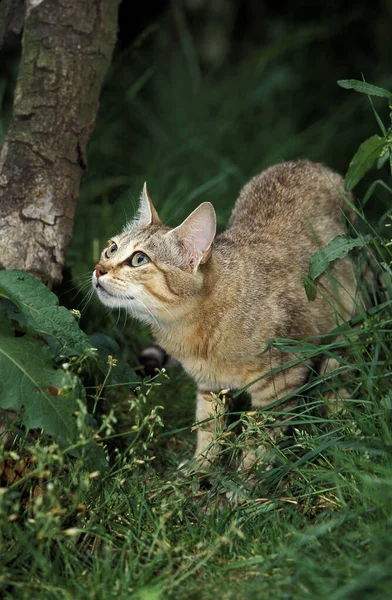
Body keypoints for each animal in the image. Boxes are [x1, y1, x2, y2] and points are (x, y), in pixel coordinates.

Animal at [93, 162, 356, 472]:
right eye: (111, 248)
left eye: (138, 259)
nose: (98, 269)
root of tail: (310, 164)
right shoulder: (210, 385)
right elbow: (208, 427)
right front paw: (201, 468)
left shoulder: (281, 381)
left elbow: (259, 439)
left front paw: (245, 479)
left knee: (339, 378)